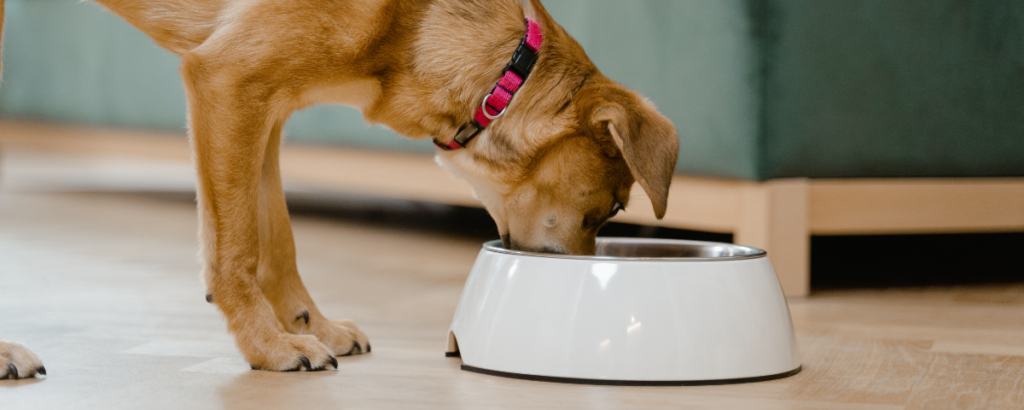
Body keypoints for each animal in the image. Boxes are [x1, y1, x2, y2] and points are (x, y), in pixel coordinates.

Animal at [0, 0, 679, 377]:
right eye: (611, 207)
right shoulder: (227, 79)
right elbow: (236, 245)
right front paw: (268, 347)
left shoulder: (265, 108)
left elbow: (276, 238)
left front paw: (310, 327)